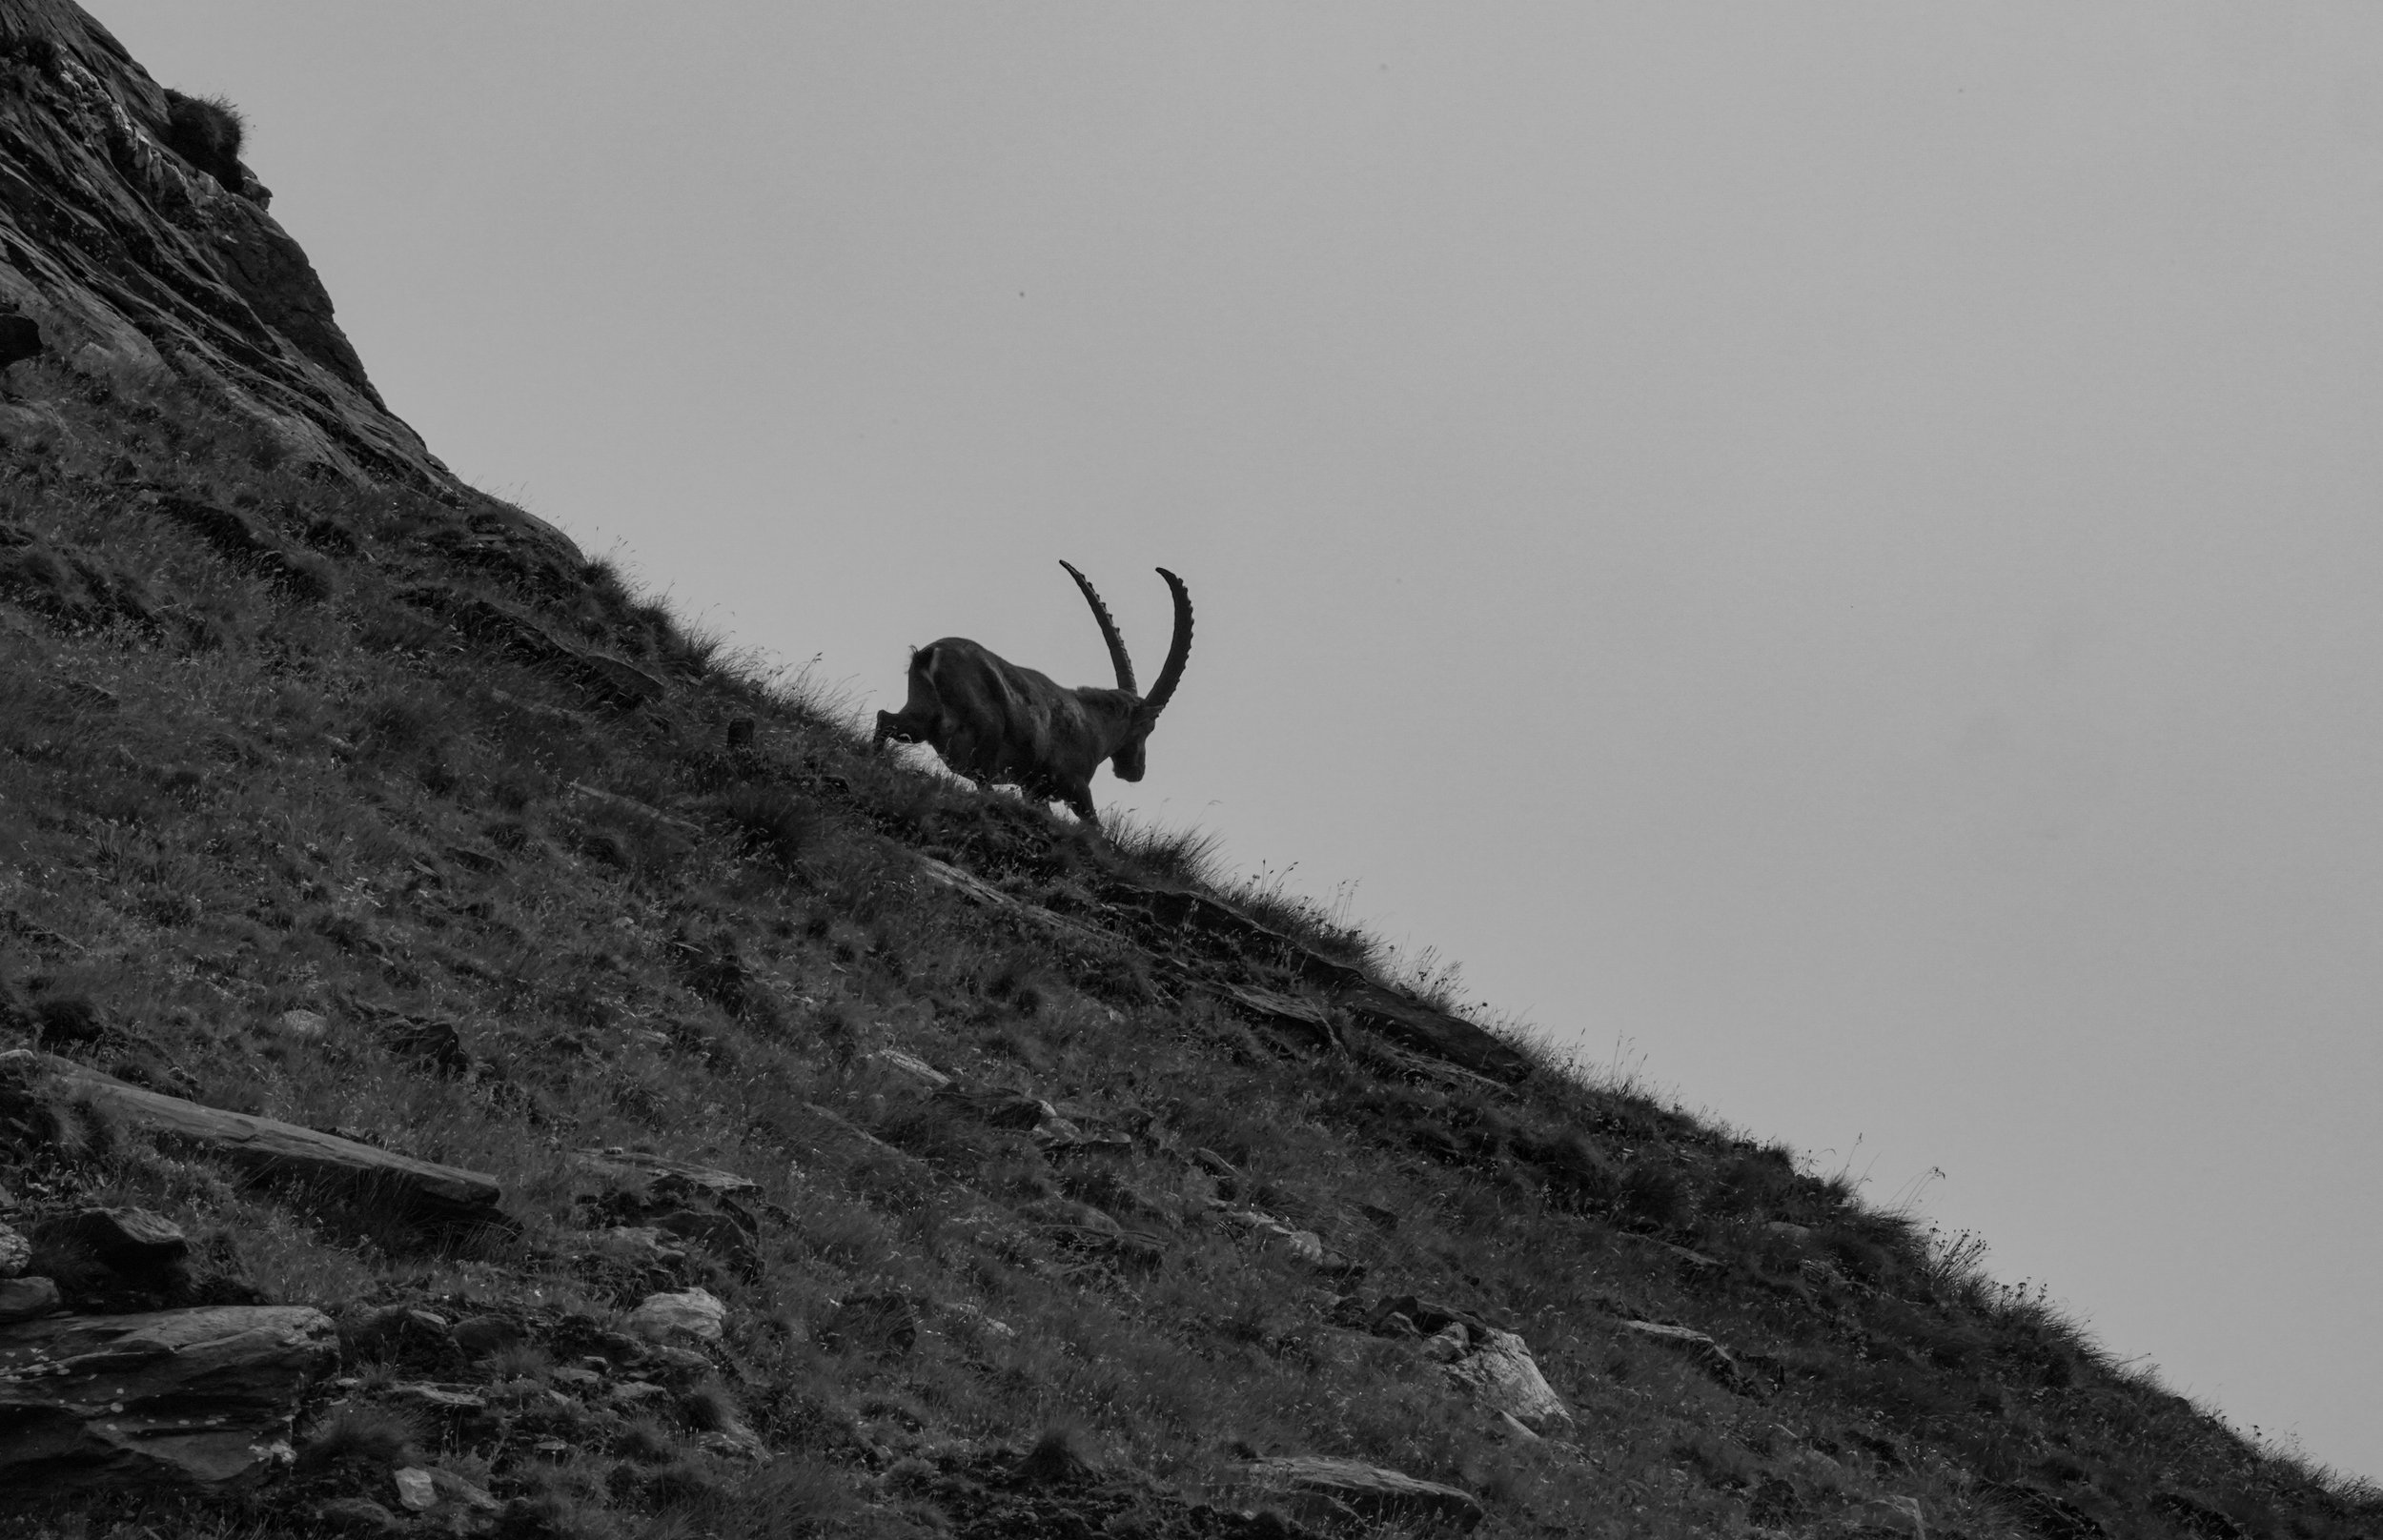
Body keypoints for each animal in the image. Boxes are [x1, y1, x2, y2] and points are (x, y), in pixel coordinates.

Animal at [873, 562, 1192, 825]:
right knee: (982, 778)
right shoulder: (1075, 786)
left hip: (922, 719)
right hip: (984, 731)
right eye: (1148, 727)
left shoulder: (1034, 790)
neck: (1095, 722)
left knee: (886, 718)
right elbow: (1095, 828)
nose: (1135, 771)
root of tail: (931, 654)